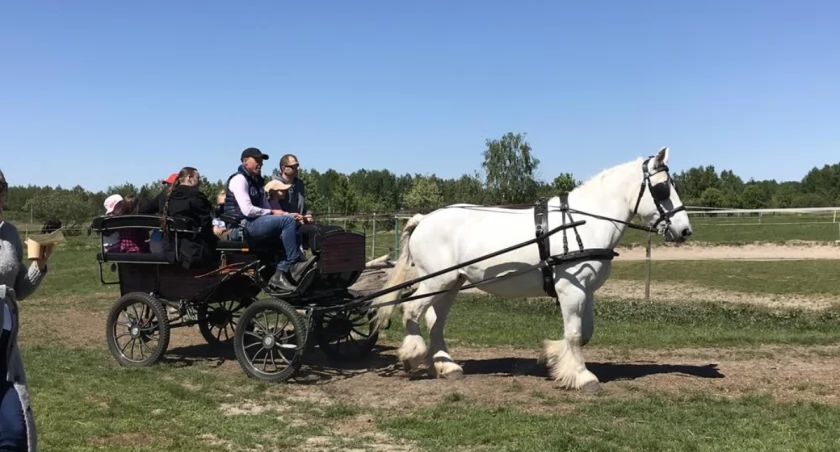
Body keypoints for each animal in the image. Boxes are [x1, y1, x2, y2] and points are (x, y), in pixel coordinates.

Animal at [370, 147, 692, 390]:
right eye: (662, 188)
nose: (685, 230)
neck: (583, 223)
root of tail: (424, 219)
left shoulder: (586, 290)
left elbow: (584, 333)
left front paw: (552, 358)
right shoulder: (571, 289)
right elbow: (575, 334)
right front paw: (582, 376)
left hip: (451, 283)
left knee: (435, 321)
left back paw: (448, 367)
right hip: (436, 281)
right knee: (411, 311)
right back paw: (413, 355)